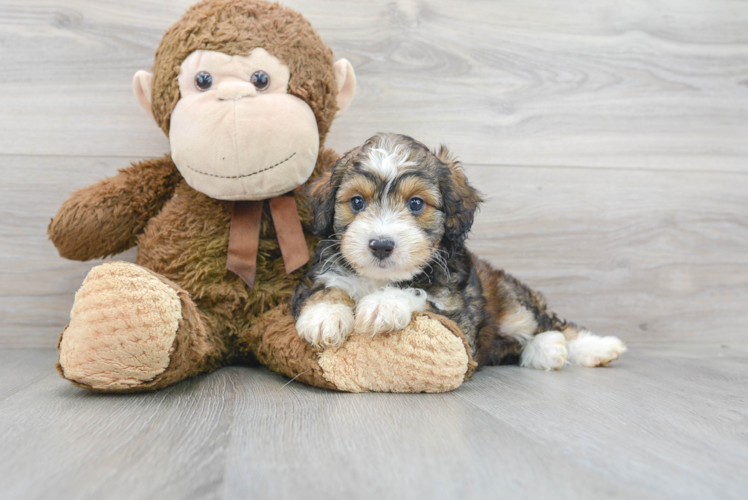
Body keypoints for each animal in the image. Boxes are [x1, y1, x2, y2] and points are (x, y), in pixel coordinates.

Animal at [292, 135, 624, 370]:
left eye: (416, 204)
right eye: (357, 202)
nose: (381, 245)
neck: (379, 278)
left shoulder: (457, 314)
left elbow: (421, 294)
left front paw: (382, 304)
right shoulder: (317, 276)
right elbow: (327, 289)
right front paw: (324, 316)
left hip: (515, 301)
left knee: (551, 324)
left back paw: (595, 348)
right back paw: (548, 351)